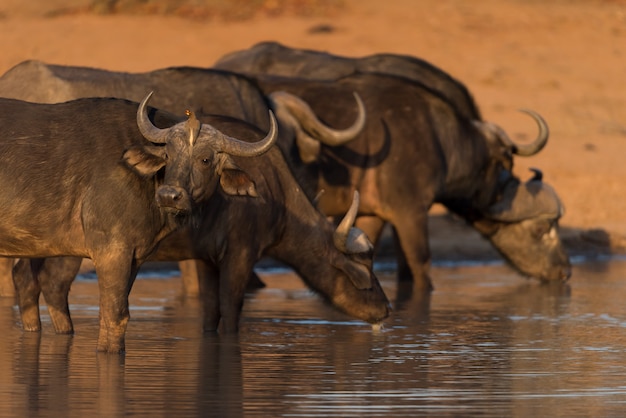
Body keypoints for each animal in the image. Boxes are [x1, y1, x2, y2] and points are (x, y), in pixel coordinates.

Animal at [0, 93, 276, 352]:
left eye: (205, 159)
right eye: (168, 155)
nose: (169, 196)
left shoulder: (135, 257)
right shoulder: (112, 252)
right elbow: (115, 315)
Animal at [12, 117, 388, 336]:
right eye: (366, 270)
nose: (385, 309)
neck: (271, 191)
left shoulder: (207, 260)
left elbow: (210, 312)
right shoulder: (240, 255)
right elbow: (231, 310)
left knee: (25, 278)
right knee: (53, 285)